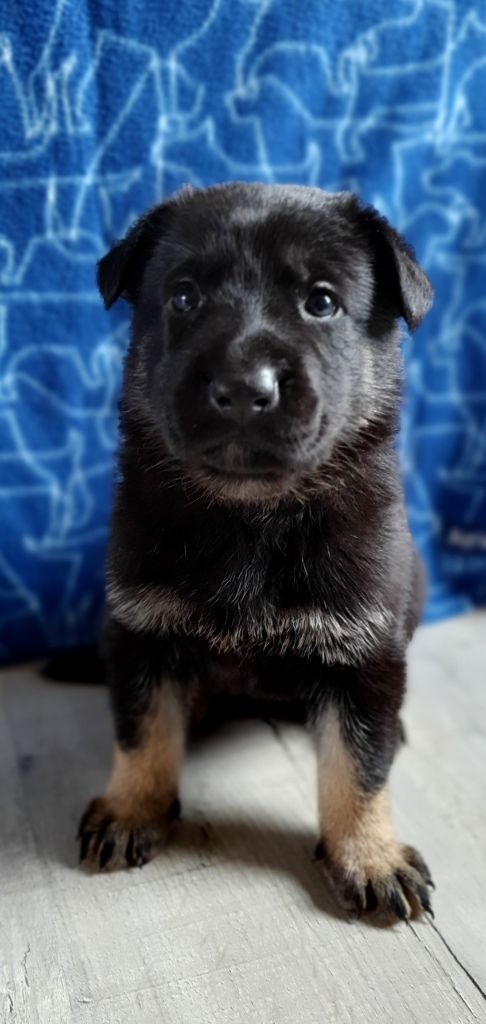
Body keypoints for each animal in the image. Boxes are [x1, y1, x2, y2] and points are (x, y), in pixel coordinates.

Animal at [77, 182, 435, 921]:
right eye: (184, 297)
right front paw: (132, 806)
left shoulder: (364, 655)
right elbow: (142, 729)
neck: (251, 516)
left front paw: (369, 853)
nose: (245, 388)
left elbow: (360, 764)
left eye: (321, 302)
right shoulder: (140, 631)